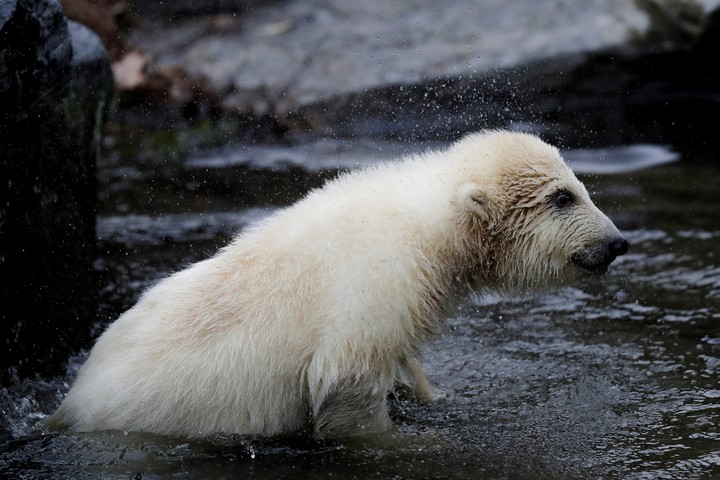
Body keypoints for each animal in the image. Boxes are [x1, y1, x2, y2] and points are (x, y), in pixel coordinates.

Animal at [46, 130, 628, 438]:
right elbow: (346, 380)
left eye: (576, 185)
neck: (427, 226)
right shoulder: (378, 284)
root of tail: (69, 404)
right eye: (562, 197)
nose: (616, 242)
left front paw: (431, 394)